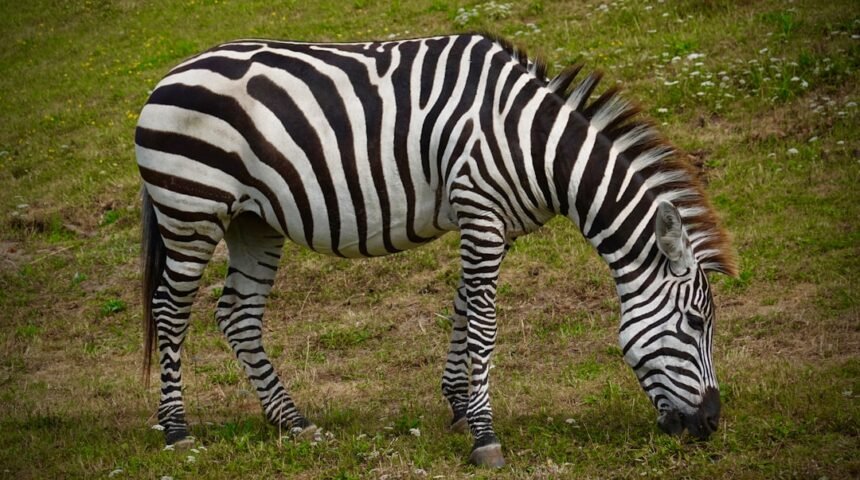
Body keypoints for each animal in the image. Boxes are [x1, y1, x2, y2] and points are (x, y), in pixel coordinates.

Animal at [136, 33, 737, 467]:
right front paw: (485, 436)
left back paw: (293, 422)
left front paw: (459, 407)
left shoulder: (489, 222)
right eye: (695, 323)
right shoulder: (482, 212)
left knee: (237, 315)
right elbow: (485, 323)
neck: (535, 146)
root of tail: (168, 75)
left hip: (253, 221)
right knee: (170, 310)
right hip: (191, 209)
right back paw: (177, 431)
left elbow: (464, 307)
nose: (711, 424)